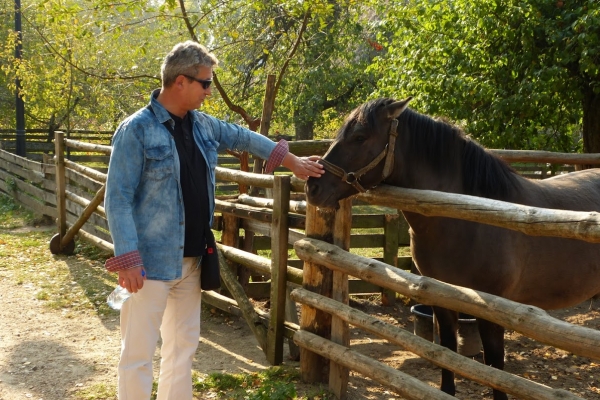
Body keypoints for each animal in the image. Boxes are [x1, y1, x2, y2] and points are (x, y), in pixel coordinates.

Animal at [308, 97, 600, 400]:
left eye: (360, 137)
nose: (312, 187)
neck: (470, 218)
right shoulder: (441, 297)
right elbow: (447, 349)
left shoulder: (494, 309)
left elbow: (495, 364)